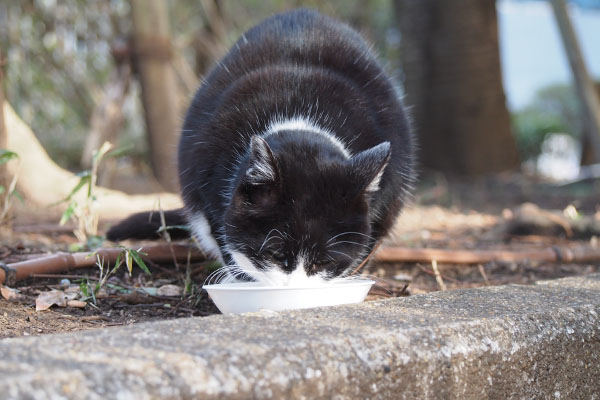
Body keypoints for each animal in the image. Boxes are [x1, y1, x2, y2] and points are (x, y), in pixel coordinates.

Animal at [106, 8, 412, 284]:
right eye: (276, 254)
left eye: (323, 261)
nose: (294, 288)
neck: (299, 114)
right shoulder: (204, 169)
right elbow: (224, 230)